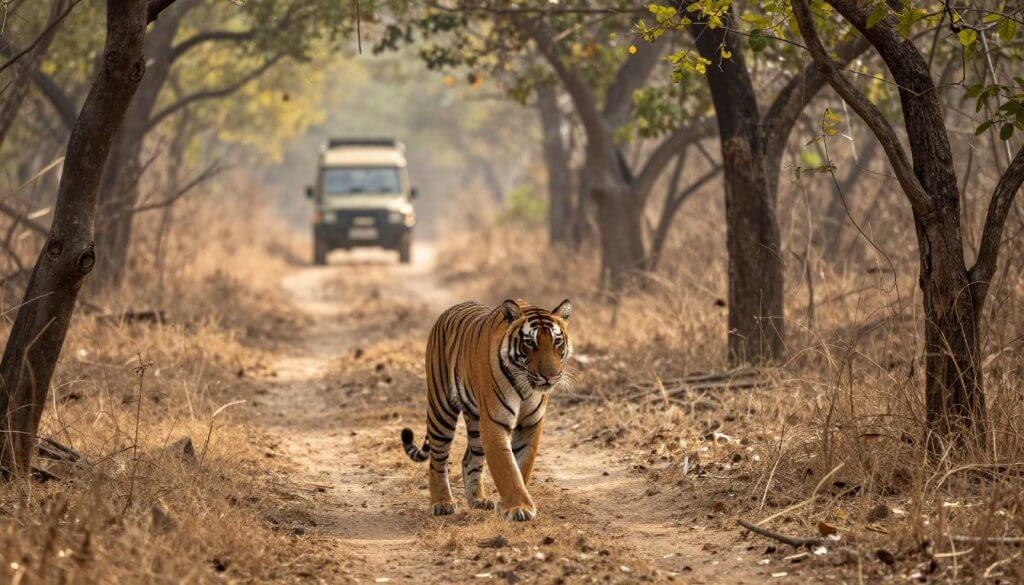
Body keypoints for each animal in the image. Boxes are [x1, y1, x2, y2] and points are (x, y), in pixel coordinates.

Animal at [401, 298, 573, 522]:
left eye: (557, 341)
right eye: (529, 343)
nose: (550, 376)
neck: (526, 386)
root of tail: (448, 311)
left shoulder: (530, 424)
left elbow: (522, 466)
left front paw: (507, 505)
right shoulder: (494, 422)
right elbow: (507, 468)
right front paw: (519, 508)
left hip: (475, 420)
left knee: (469, 459)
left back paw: (478, 500)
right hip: (441, 408)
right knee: (437, 459)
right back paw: (442, 503)